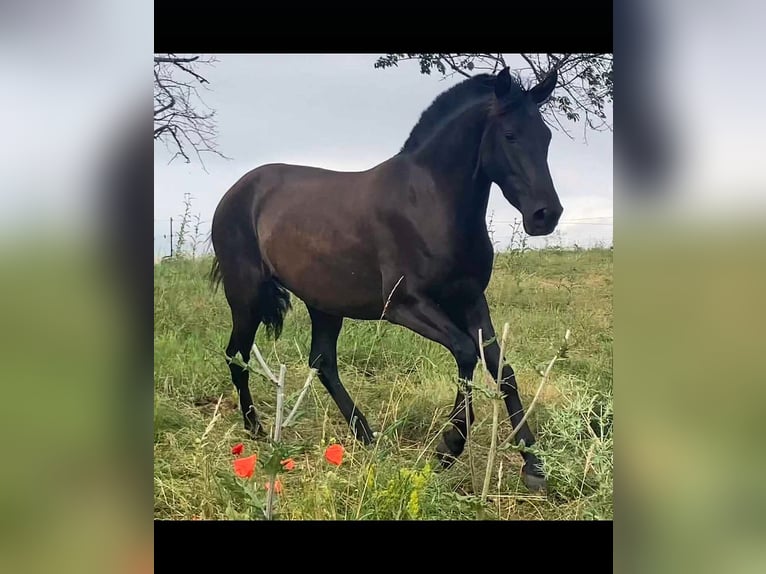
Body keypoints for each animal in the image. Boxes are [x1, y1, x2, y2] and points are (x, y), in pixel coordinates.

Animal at [210, 66, 564, 490]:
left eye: (545, 136)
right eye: (510, 135)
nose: (546, 215)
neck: (429, 201)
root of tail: (235, 192)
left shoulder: (470, 299)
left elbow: (502, 370)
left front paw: (533, 466)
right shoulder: (405, 305)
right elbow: (465, 353)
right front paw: (449, 447)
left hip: (324, 304)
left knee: (322, 362)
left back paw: (366, 434)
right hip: (245, 296)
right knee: (237, 355)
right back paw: (256, 429)